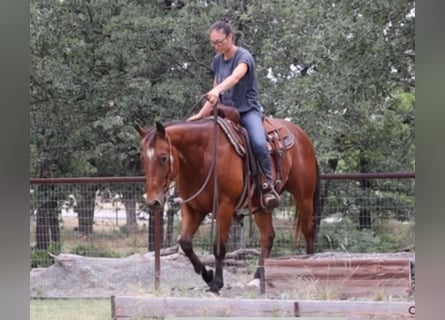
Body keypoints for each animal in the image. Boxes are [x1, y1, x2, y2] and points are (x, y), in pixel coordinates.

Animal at [136, 109, 320, 294]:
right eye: (142, 159)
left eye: (163, 158)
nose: (153, 201)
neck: (204, 156)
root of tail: (301, 135)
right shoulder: (193, 208)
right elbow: (185, 242)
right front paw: (207, 275)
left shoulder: (224, 206)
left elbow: (219, 247)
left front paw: (216, 283)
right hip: (261, 206)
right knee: (268, 236)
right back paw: (258, 277)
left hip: (304, 197)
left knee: (308, 231)